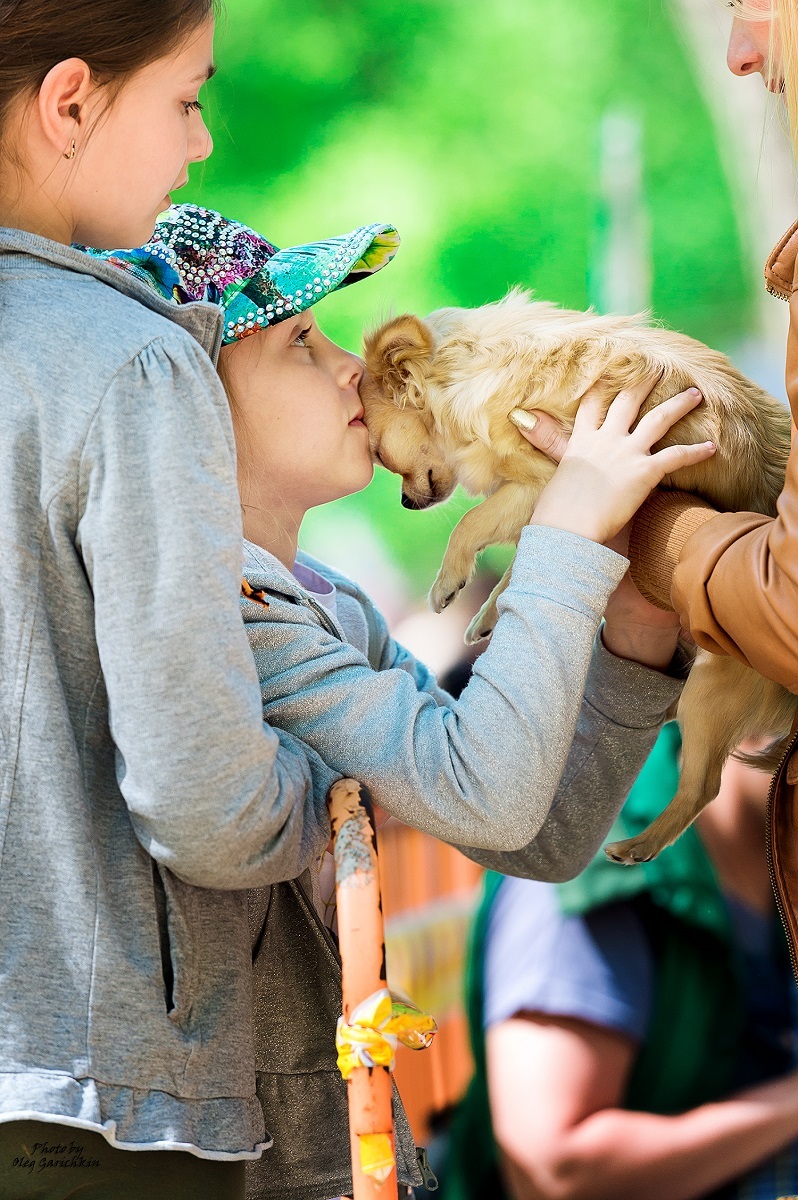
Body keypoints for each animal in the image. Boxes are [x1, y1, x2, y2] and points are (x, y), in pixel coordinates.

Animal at [362, 290, 796, 864]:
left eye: (382, 455)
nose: (406, 503)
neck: (473, 370)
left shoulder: (543, 478)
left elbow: (470, 522)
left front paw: (449, 582)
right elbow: (523, 551)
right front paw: (489, 611)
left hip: (712, 688)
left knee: (704, 786)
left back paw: (640, 845)